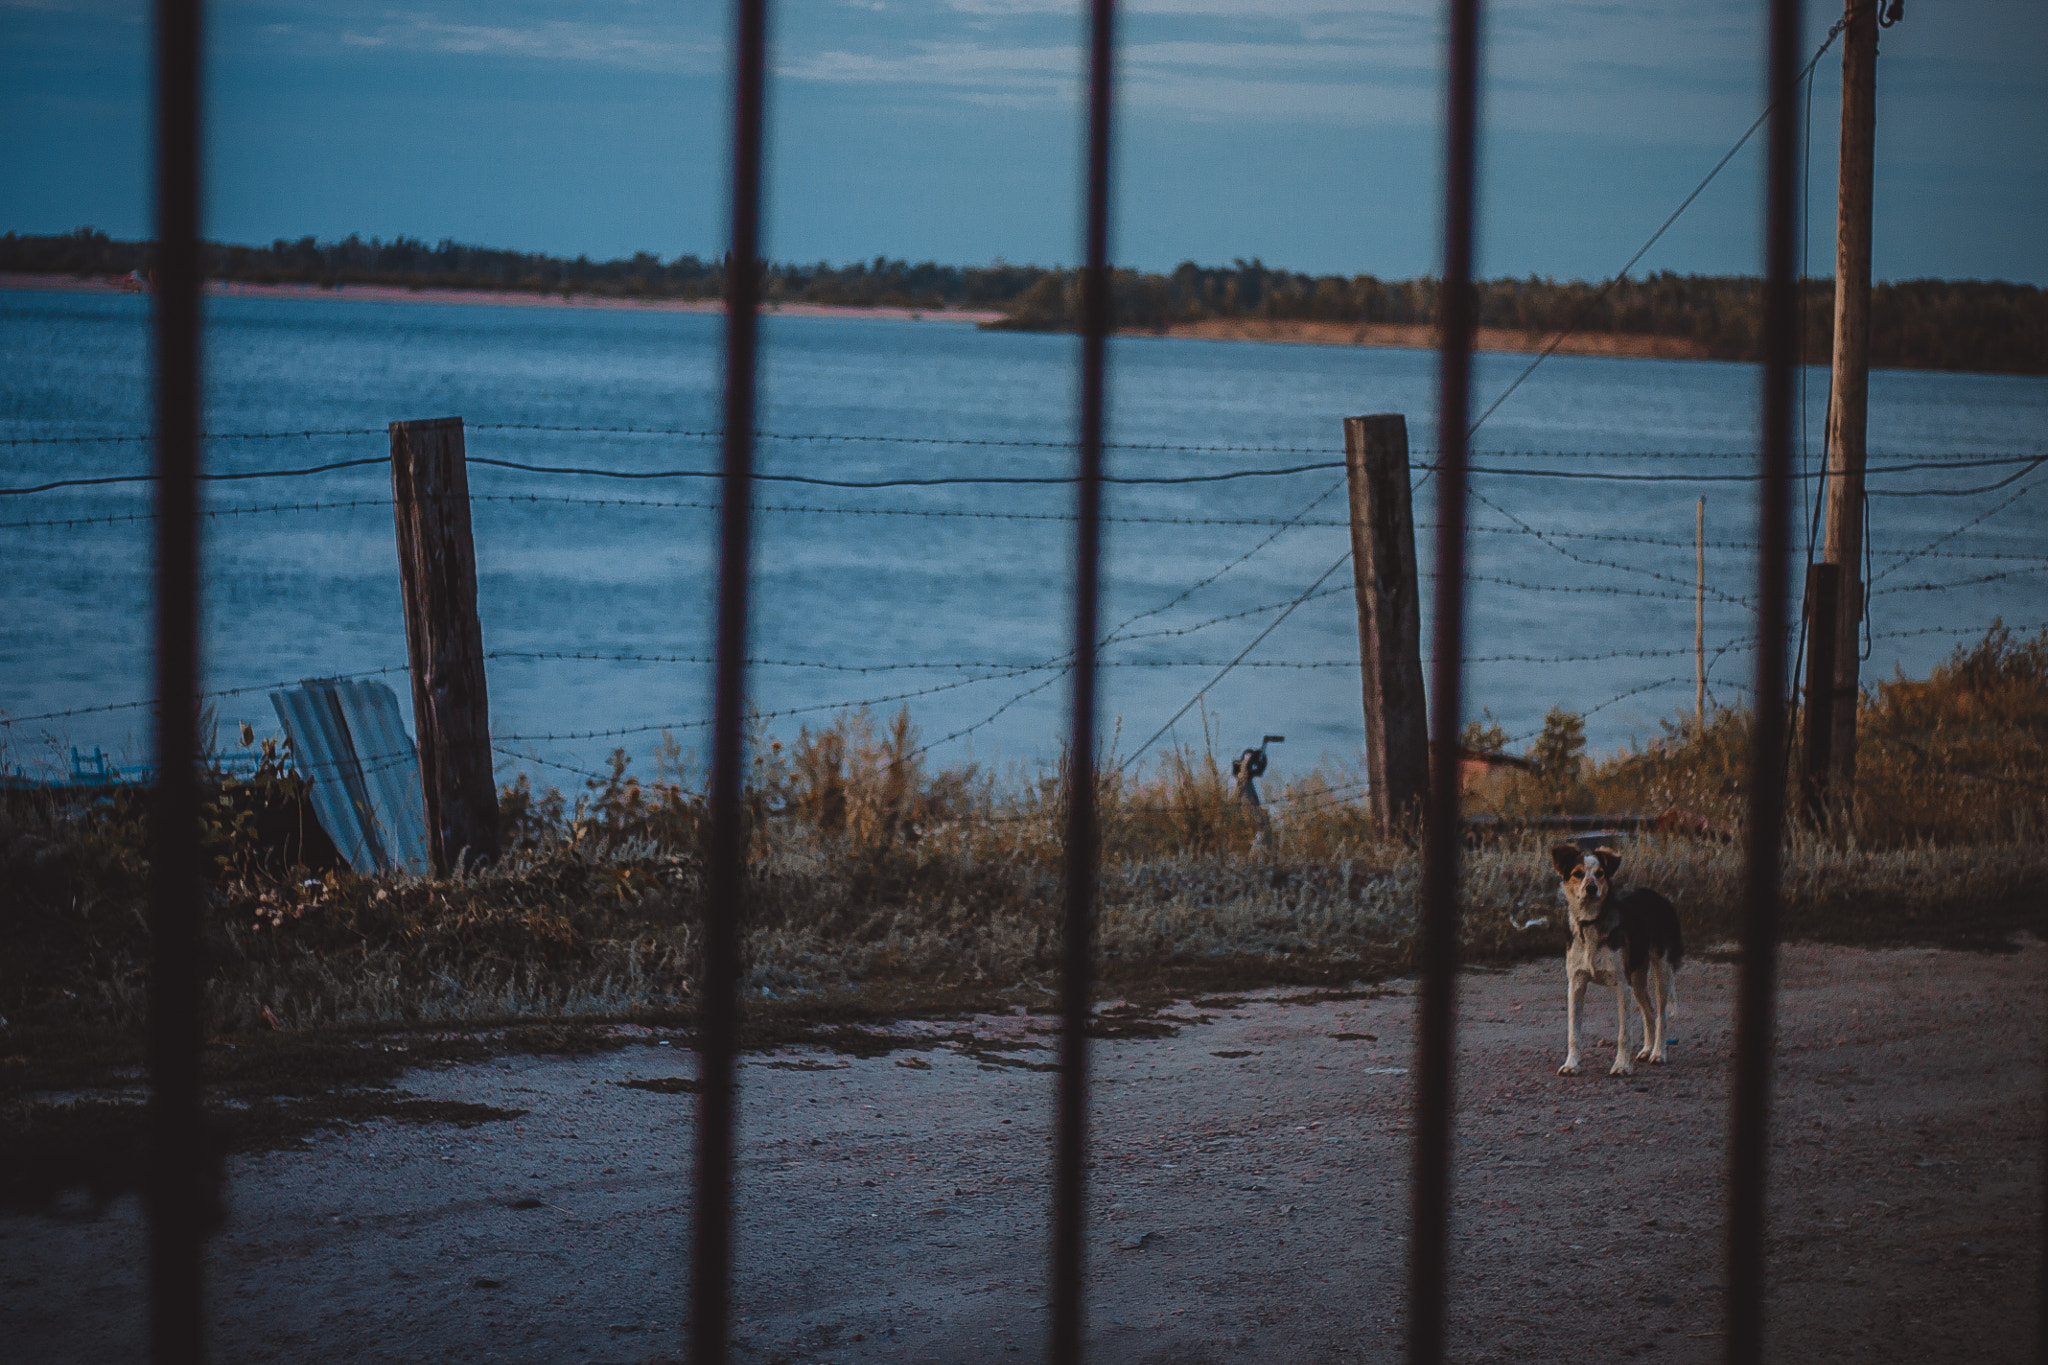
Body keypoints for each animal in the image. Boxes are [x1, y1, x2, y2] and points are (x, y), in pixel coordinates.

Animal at [1548, 843, 1679, 1080]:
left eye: (1600, 873)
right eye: (1577, 874)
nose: (1591, 888)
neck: (1591, 923)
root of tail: (1659, 897)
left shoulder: (1621, 986)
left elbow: (1623, 1033)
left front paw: (1621, 1066)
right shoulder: (1576, 984)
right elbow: (1573, 1033)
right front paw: (1571, 1065)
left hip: (1660, 970)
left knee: (1661, 1015)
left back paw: (1658, 1053)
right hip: (1636, 979)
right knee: (1649, 1013)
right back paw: (1646, 1050)